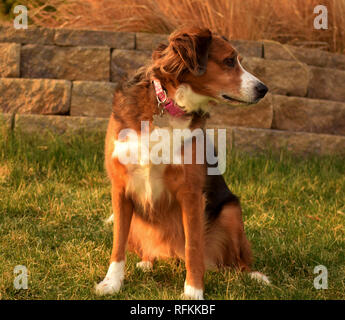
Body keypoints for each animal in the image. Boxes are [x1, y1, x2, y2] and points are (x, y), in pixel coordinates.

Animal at [94, 26, 268, 298]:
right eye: (230, 61)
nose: (263, 89)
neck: (170, 104)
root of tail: (170, 253)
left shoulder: (191, 193)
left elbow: (193, 248)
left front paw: (193, 291)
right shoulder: (120, 189)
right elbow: (117, 245)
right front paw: (112, 283)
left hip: (232, 212)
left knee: (237, 263)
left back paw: (254, 276)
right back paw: (147, 262)